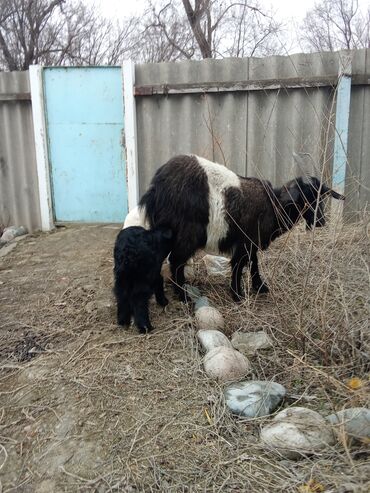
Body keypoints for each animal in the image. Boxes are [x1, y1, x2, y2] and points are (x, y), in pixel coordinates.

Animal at [138, 154, 344, 300]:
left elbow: (254, 262)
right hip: (186, 234)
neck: (274, 205)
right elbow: (239, 265)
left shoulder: (251, 241)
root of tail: (155, 189)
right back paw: (183, 296)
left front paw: (259, 287)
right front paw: (237, 294)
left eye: (321, 197)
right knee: (177, 262)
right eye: (305, 197)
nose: (321, 221)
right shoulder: (244, 241)